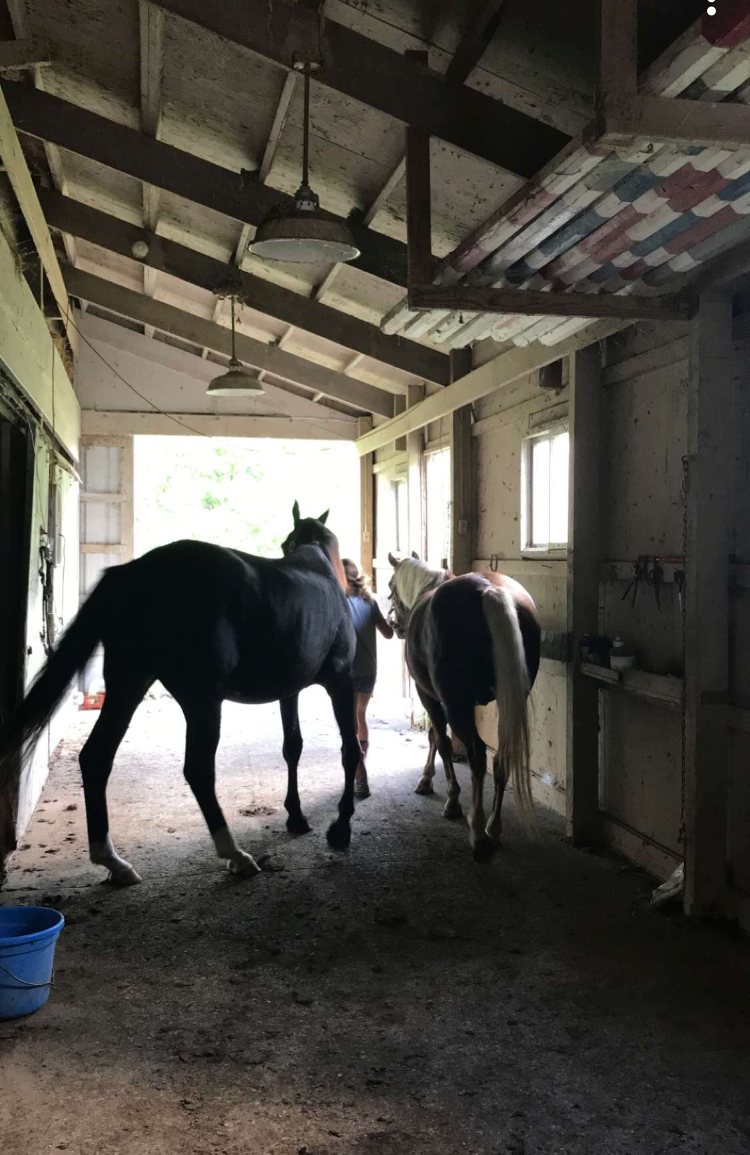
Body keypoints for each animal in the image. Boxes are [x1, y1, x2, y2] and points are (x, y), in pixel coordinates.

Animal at [0, 503, 361, 886]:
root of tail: (134, 572)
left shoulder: (289, 691)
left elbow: (292, 747)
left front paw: (297, 816)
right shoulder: (341, 681)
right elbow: (349, 748)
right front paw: (341, 826)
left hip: (129, 685)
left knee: (96, 757)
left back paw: (115, 863)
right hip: (201, 700)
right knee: (198, 770)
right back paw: (235, 855)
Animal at [387, 553, 541, 861]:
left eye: (390, 586)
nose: (395, 626)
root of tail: (491, 591)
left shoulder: (429, 695)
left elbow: (441, 741)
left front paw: (450, 798)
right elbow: (435, 737)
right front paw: (427, 780)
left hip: (455, 704)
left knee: (478, 756)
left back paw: (478, 832)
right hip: (508, 700)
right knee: (500, 757)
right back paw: (493, 827)